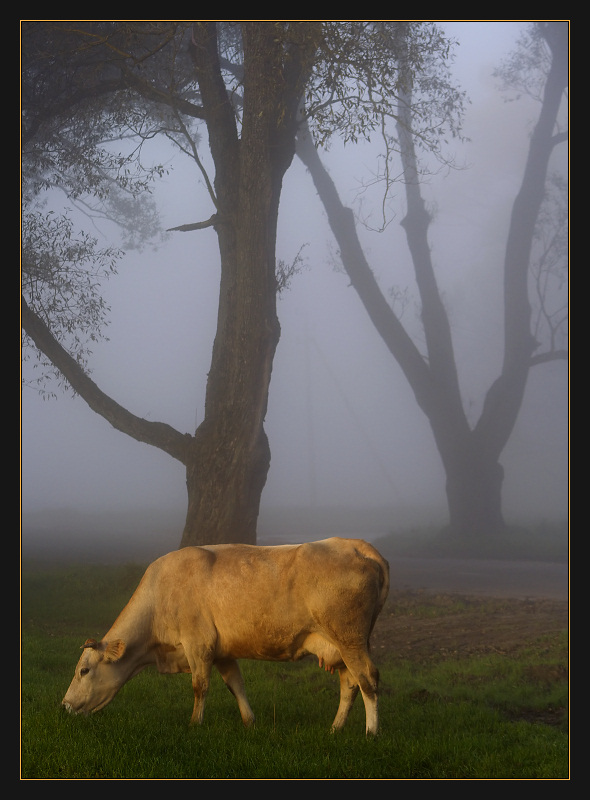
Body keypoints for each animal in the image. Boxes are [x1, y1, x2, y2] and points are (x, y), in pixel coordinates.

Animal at [62, 536, 390, 736]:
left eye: (83, 670)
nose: (64, 705)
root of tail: (358, 545)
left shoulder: (198, 644)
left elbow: (200, 686)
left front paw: (194, 723)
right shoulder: (222, 651)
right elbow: (236, 685)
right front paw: (250, 722)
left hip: (350, 639)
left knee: (368, 679)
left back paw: (371, 733)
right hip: (340, 647)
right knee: (350, 684)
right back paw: (335, 728)